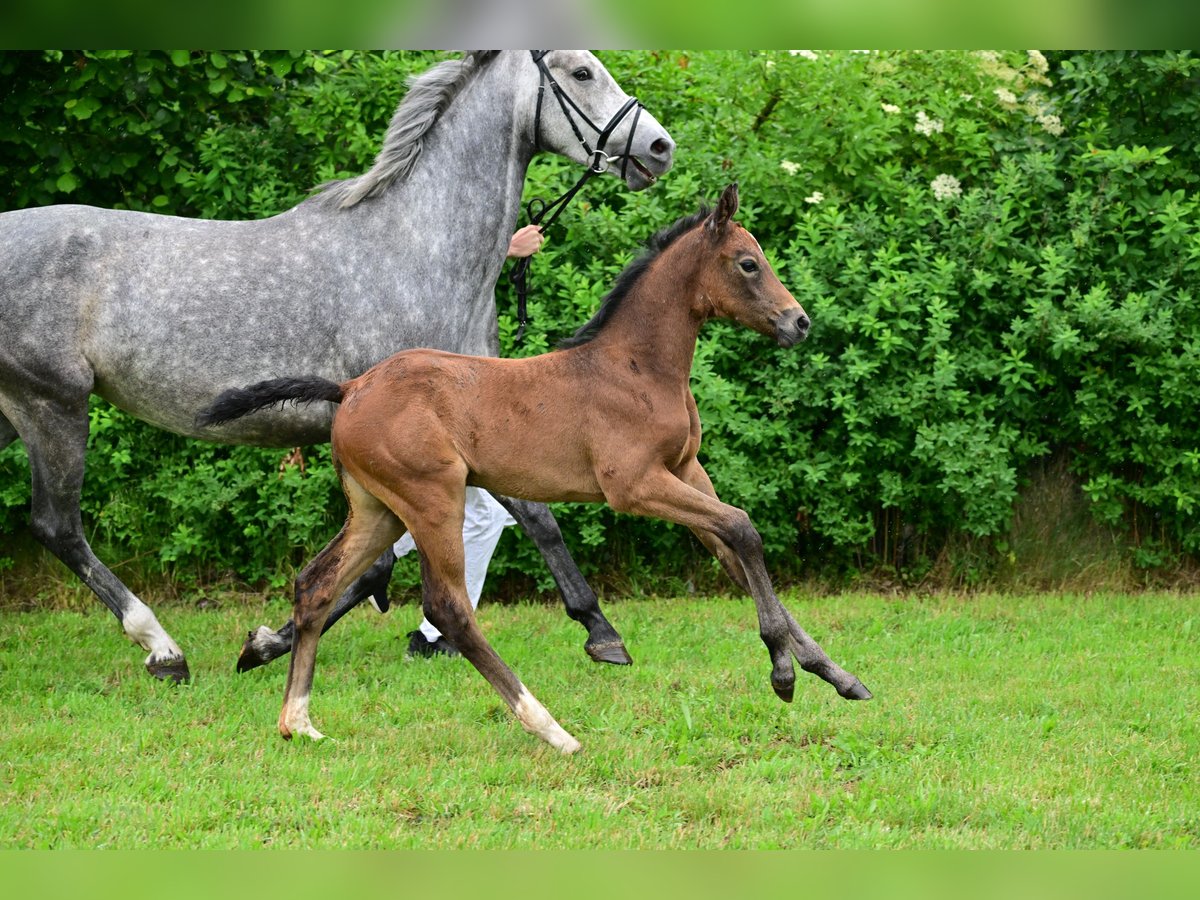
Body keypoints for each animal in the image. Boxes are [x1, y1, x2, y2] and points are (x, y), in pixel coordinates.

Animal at [0, 51, 676, 681]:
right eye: (582, 72)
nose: (660, 147)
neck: (416, 252)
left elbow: (474, 531)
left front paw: (269, 642)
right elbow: (473, 531)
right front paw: (600, 631)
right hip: (52, 403)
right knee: (58, 526)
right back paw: (164, 650)